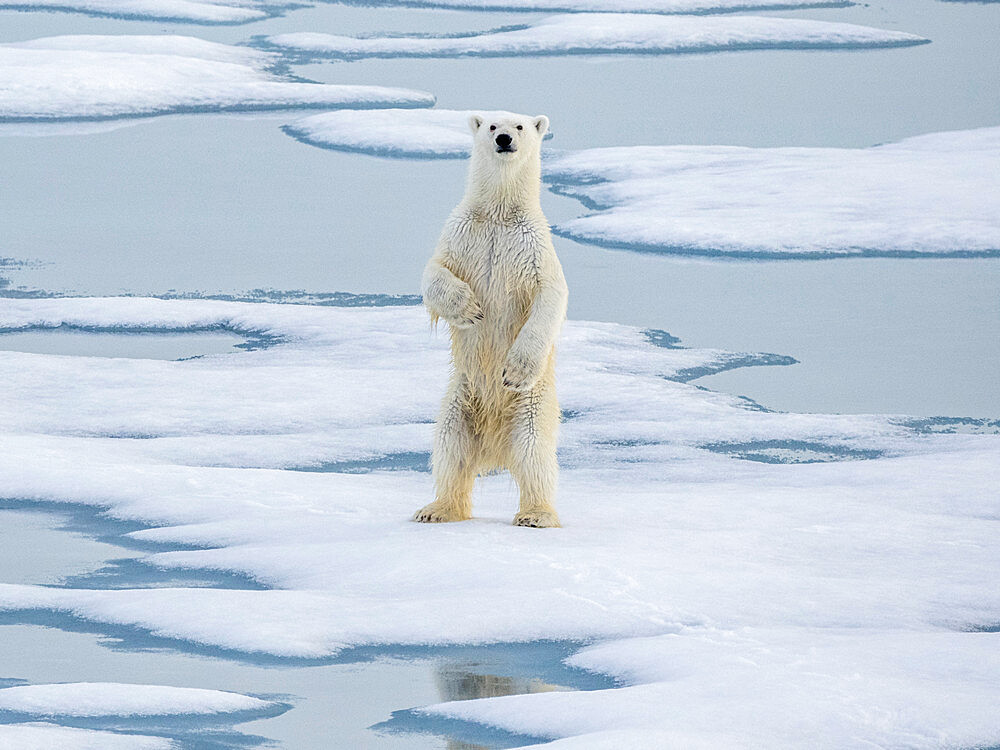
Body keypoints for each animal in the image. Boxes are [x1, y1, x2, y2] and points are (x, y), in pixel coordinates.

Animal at [412, 114, 568, 532]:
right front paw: (470, 309)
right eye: (493, 125)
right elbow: (433, 273)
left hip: (531, 406)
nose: (504, 139)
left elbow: (551, 296)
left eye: (521, 126)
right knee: (450, 448)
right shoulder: (461, 233)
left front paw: (513, 370)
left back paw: (536, 514)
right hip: (459, 398)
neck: (498, 214)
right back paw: (436, 508)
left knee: (534, 454)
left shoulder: (534, 247)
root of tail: (495, 448)